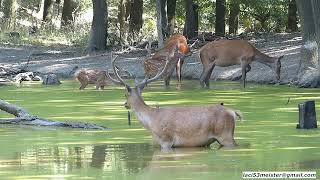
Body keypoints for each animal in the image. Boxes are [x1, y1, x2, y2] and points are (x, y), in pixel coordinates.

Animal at [107, 49, 242, 149]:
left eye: (125, 94)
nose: (125, 104)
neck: (151, 122)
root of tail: (234, 112)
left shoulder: (166, 141)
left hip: (225, 135)